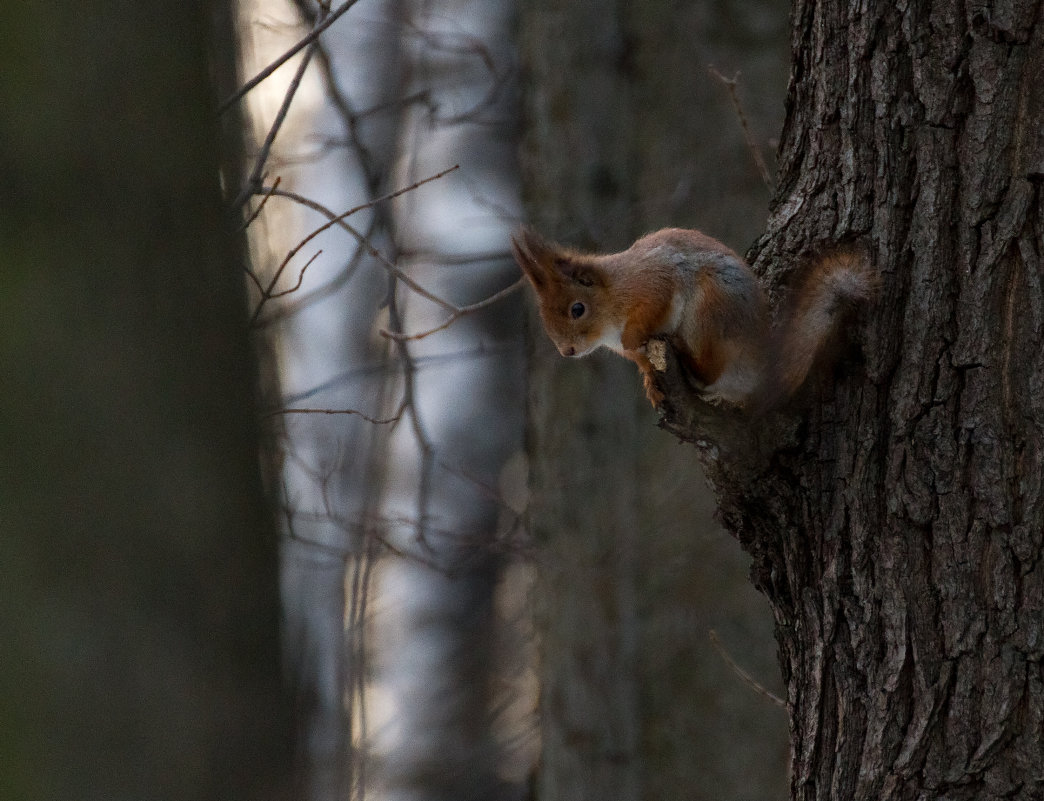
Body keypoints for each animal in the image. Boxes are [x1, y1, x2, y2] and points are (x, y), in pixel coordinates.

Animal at [511, 227, 872, 409]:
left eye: (577, 309)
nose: (567, 351)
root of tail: (761, 365)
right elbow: (640, 360)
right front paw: (650, 382)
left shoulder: (653, 283)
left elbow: (651, 310)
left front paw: (635, 335)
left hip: (710, 311)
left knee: (709, 369)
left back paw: (687, 355)